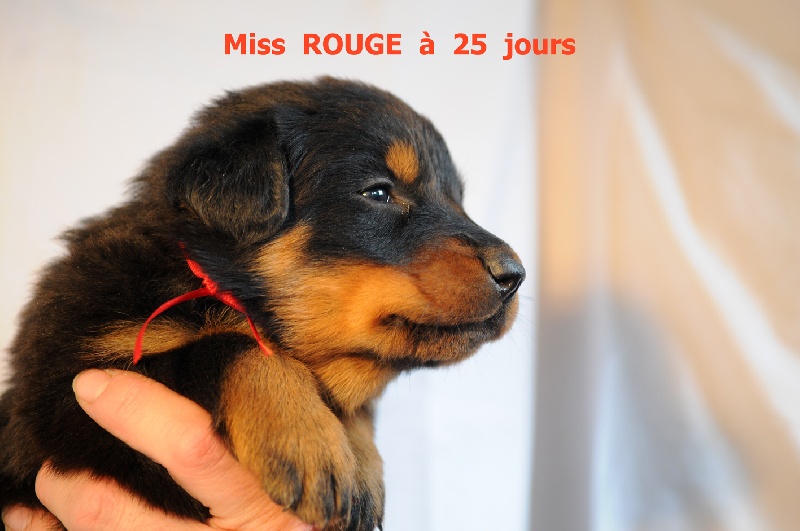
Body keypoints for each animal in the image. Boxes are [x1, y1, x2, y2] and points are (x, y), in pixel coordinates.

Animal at [0, 77, 524, 530]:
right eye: (378, 191)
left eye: (458, 200)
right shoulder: (64, 393)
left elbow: (351, 403)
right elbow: (233, 348)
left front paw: (360, 461)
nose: (514, 275)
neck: (199, 275)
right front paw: (305, 439)